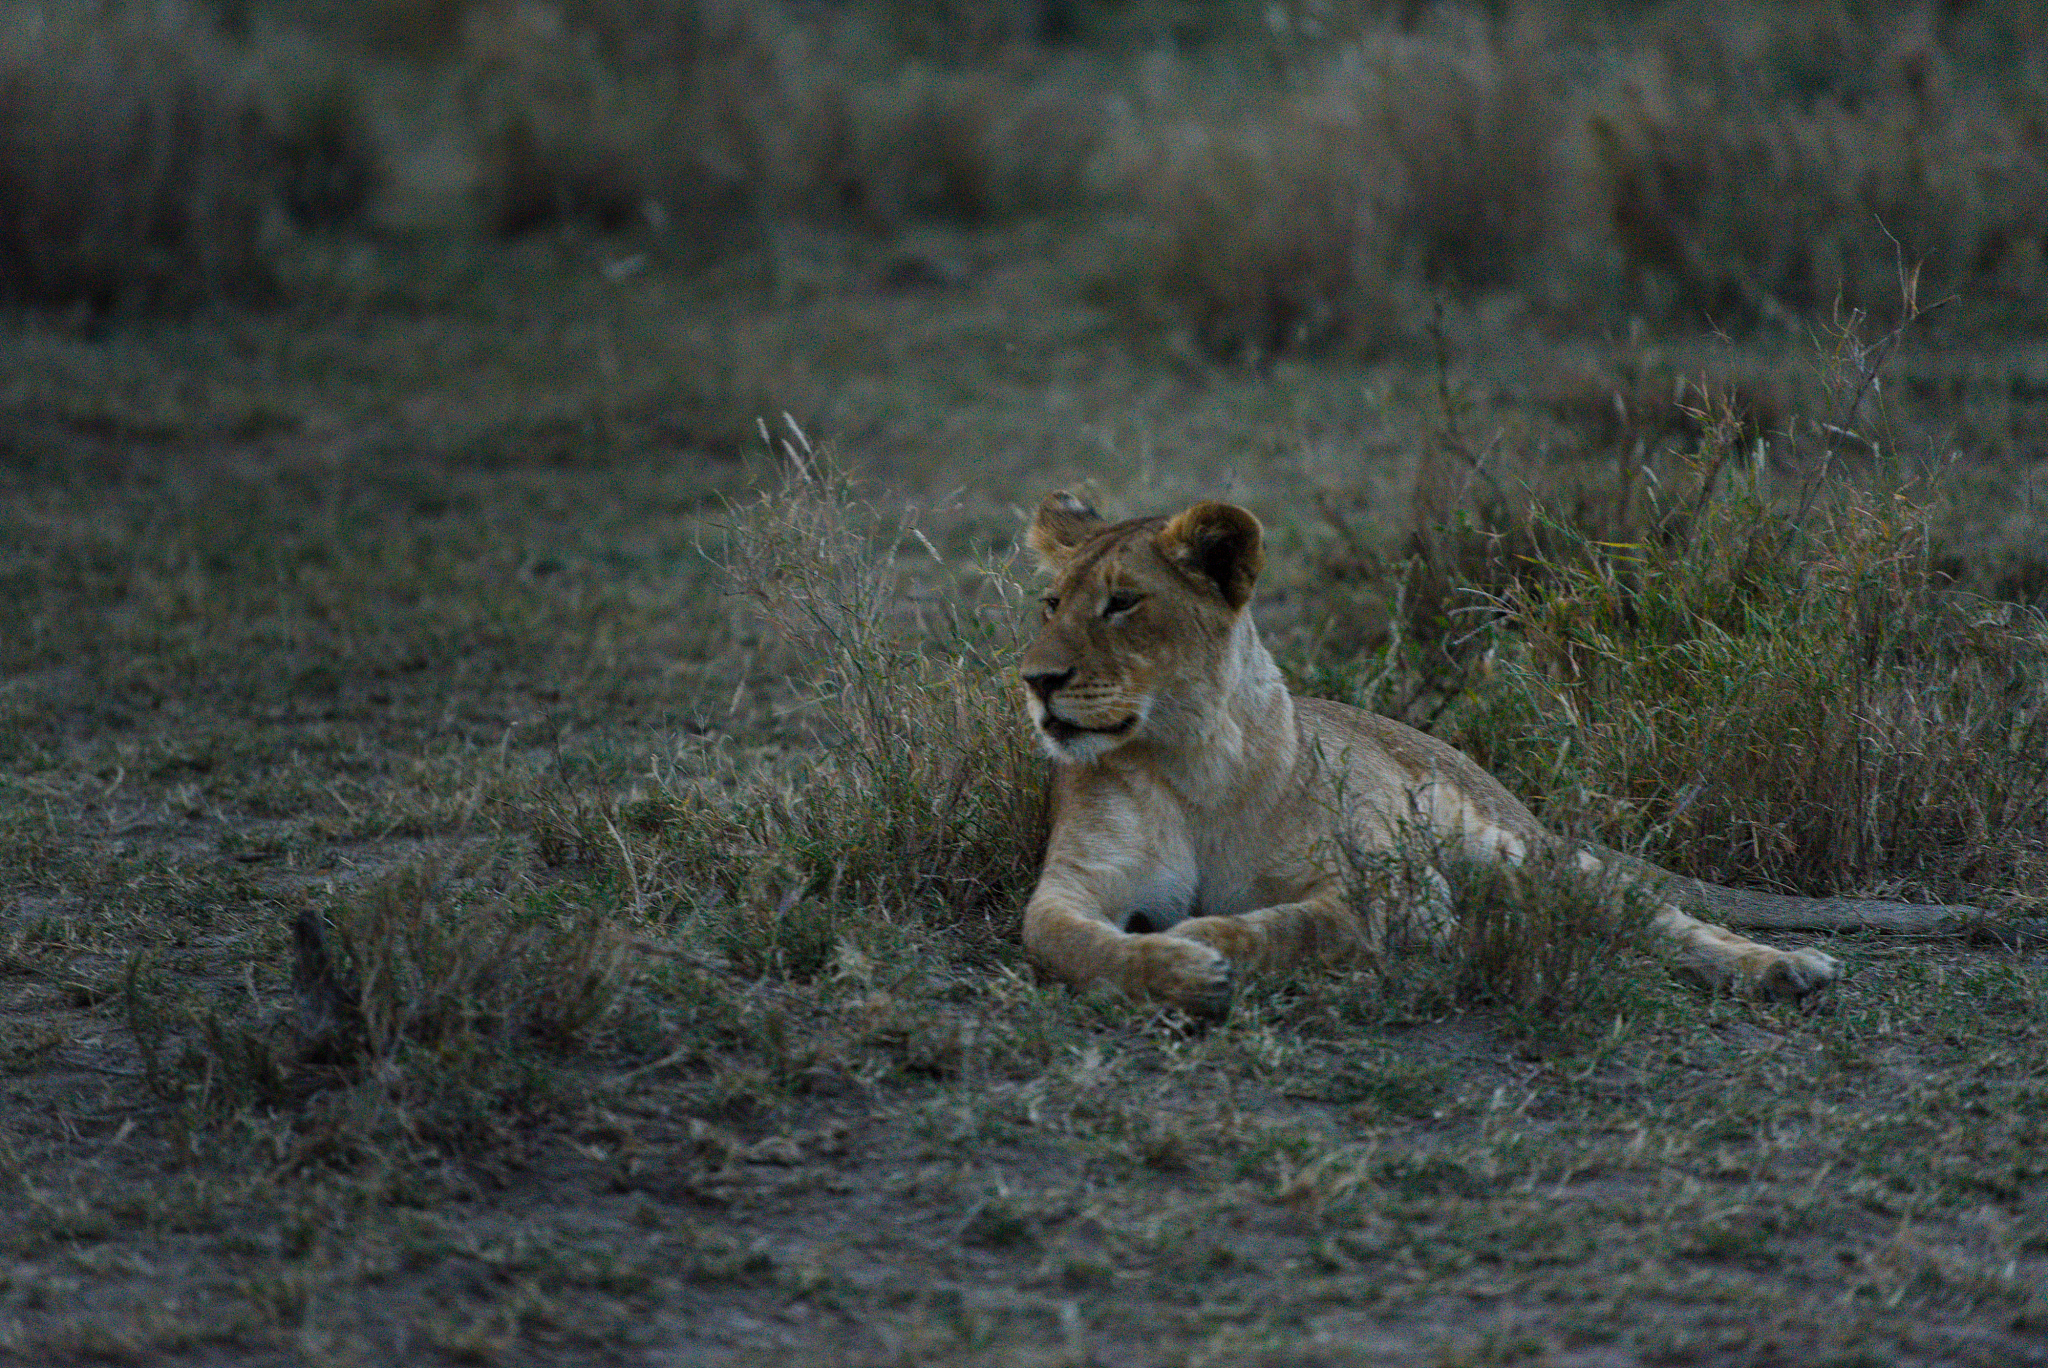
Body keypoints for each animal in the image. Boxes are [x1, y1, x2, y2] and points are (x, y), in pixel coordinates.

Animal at [1018, 492, 1970, 1018]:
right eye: (1051, 602)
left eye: (1123, 604)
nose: (1034, 679)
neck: (1190, 759)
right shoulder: (1078, 880)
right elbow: (1059, 937)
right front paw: (1166, 966)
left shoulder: (1397, 889)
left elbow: (1294, 923)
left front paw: (1200, 941)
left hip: (1525, 857)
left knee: (1660, 918)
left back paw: (1782, 970)